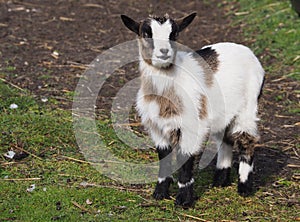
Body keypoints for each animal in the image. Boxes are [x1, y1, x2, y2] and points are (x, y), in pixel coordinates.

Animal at [120, 11, 264, 206]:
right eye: (146, 33)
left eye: (173, 34)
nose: (164, 52)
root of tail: (247, 51)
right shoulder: (157, 127)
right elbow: (163, 156)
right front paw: (160, 193)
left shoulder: (191, 126)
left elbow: (185, 157)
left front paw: (184, 199)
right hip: (224, 113)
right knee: (225, 140)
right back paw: (220, 181)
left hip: (248, 107)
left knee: (246, 140)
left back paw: (244, 187)